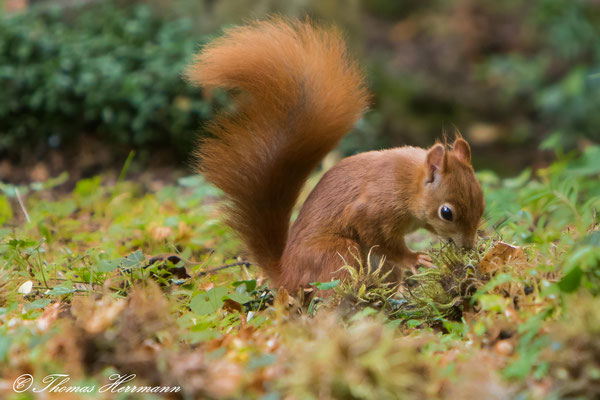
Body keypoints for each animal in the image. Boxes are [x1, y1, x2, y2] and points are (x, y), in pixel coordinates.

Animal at [185, 18, 486, 292]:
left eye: (482, 202)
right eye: (446, 213)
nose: (468, 247)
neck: (408, 182)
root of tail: (286, 274)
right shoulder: (374, 209)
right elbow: (380, 238)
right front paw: (414, 258)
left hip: (377, 266)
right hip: (339, 253)